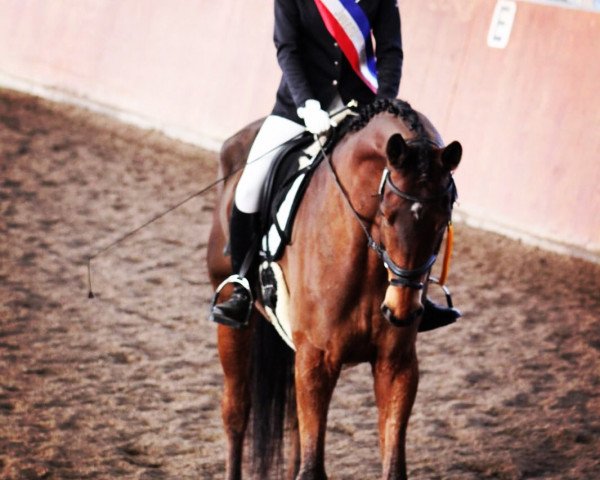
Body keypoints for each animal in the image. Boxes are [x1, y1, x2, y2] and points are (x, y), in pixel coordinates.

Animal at [206, 98, 464, 480]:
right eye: (387, 214)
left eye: (443, 219)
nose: (401, 310)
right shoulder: (317, 358)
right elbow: (312, 468)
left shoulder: (396, 364)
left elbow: (392, 467)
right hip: (234, 323)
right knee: (236, 413)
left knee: (294, 426)